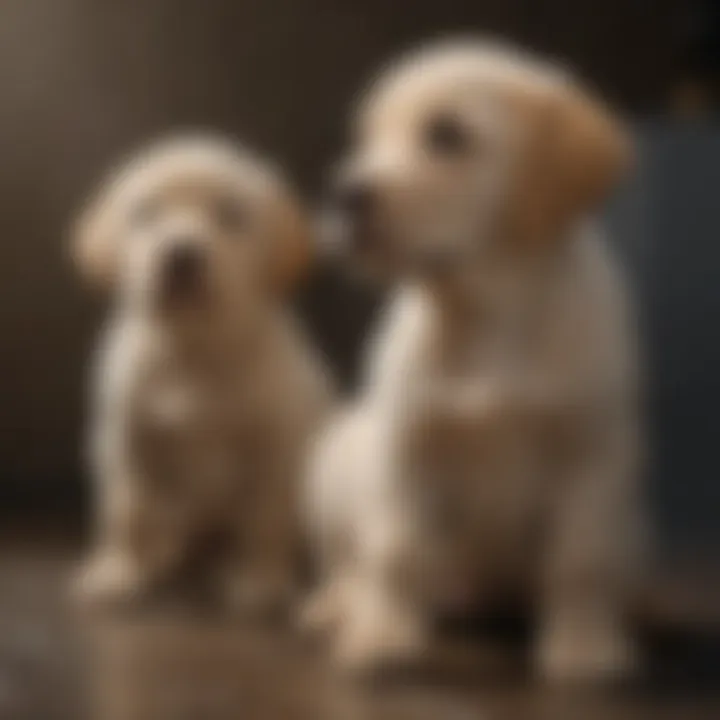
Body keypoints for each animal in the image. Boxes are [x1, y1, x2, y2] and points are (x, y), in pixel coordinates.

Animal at [72, 135, 332, 612]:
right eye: (146, 213)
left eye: (231, 215)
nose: (181, 255)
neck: (192, 348)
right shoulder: (125, 441)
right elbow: (126, 511)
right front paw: (117, 572)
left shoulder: (273, 448)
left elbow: (263, 520)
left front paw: (261, 580)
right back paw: (162, 556)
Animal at [302, 42, 640, 684]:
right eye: (368, 137)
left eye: (447, 135)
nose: (343, 195)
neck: (486, 308)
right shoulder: (408, 445)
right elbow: (398, 549)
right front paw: (383, 637)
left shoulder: (591, 451)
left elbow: (581, 559)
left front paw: (583, 645)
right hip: (335, 459)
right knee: (351, 561)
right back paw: (340, 606)